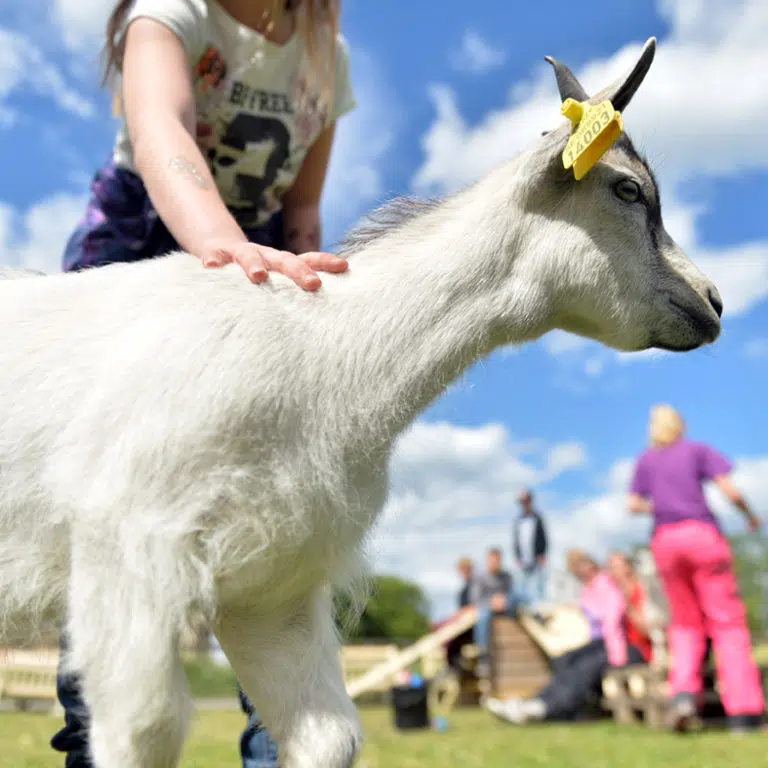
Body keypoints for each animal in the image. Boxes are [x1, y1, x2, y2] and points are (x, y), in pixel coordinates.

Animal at [0, 40, 720, 768]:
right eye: (628, 189)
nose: (714, 301)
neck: (322, 352)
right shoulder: (129, 550)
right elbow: (145, 728)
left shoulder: (274, 586)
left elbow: (330, 740)